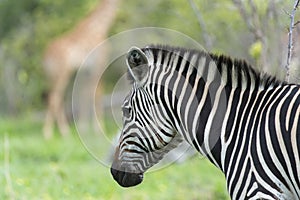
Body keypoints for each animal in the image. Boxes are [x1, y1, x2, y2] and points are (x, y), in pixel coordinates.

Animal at [42, 0, 119, 138]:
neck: (101, 26)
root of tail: (45, 58)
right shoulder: (98, 65)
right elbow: (97, 93)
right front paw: (100, 129)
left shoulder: (85, 71)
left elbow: (84, 94)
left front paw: (83, 127)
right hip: (62, 73)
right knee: (55, 97)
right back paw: (52, 132)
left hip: (50, 77)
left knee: (54, 97)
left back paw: (61, 131)